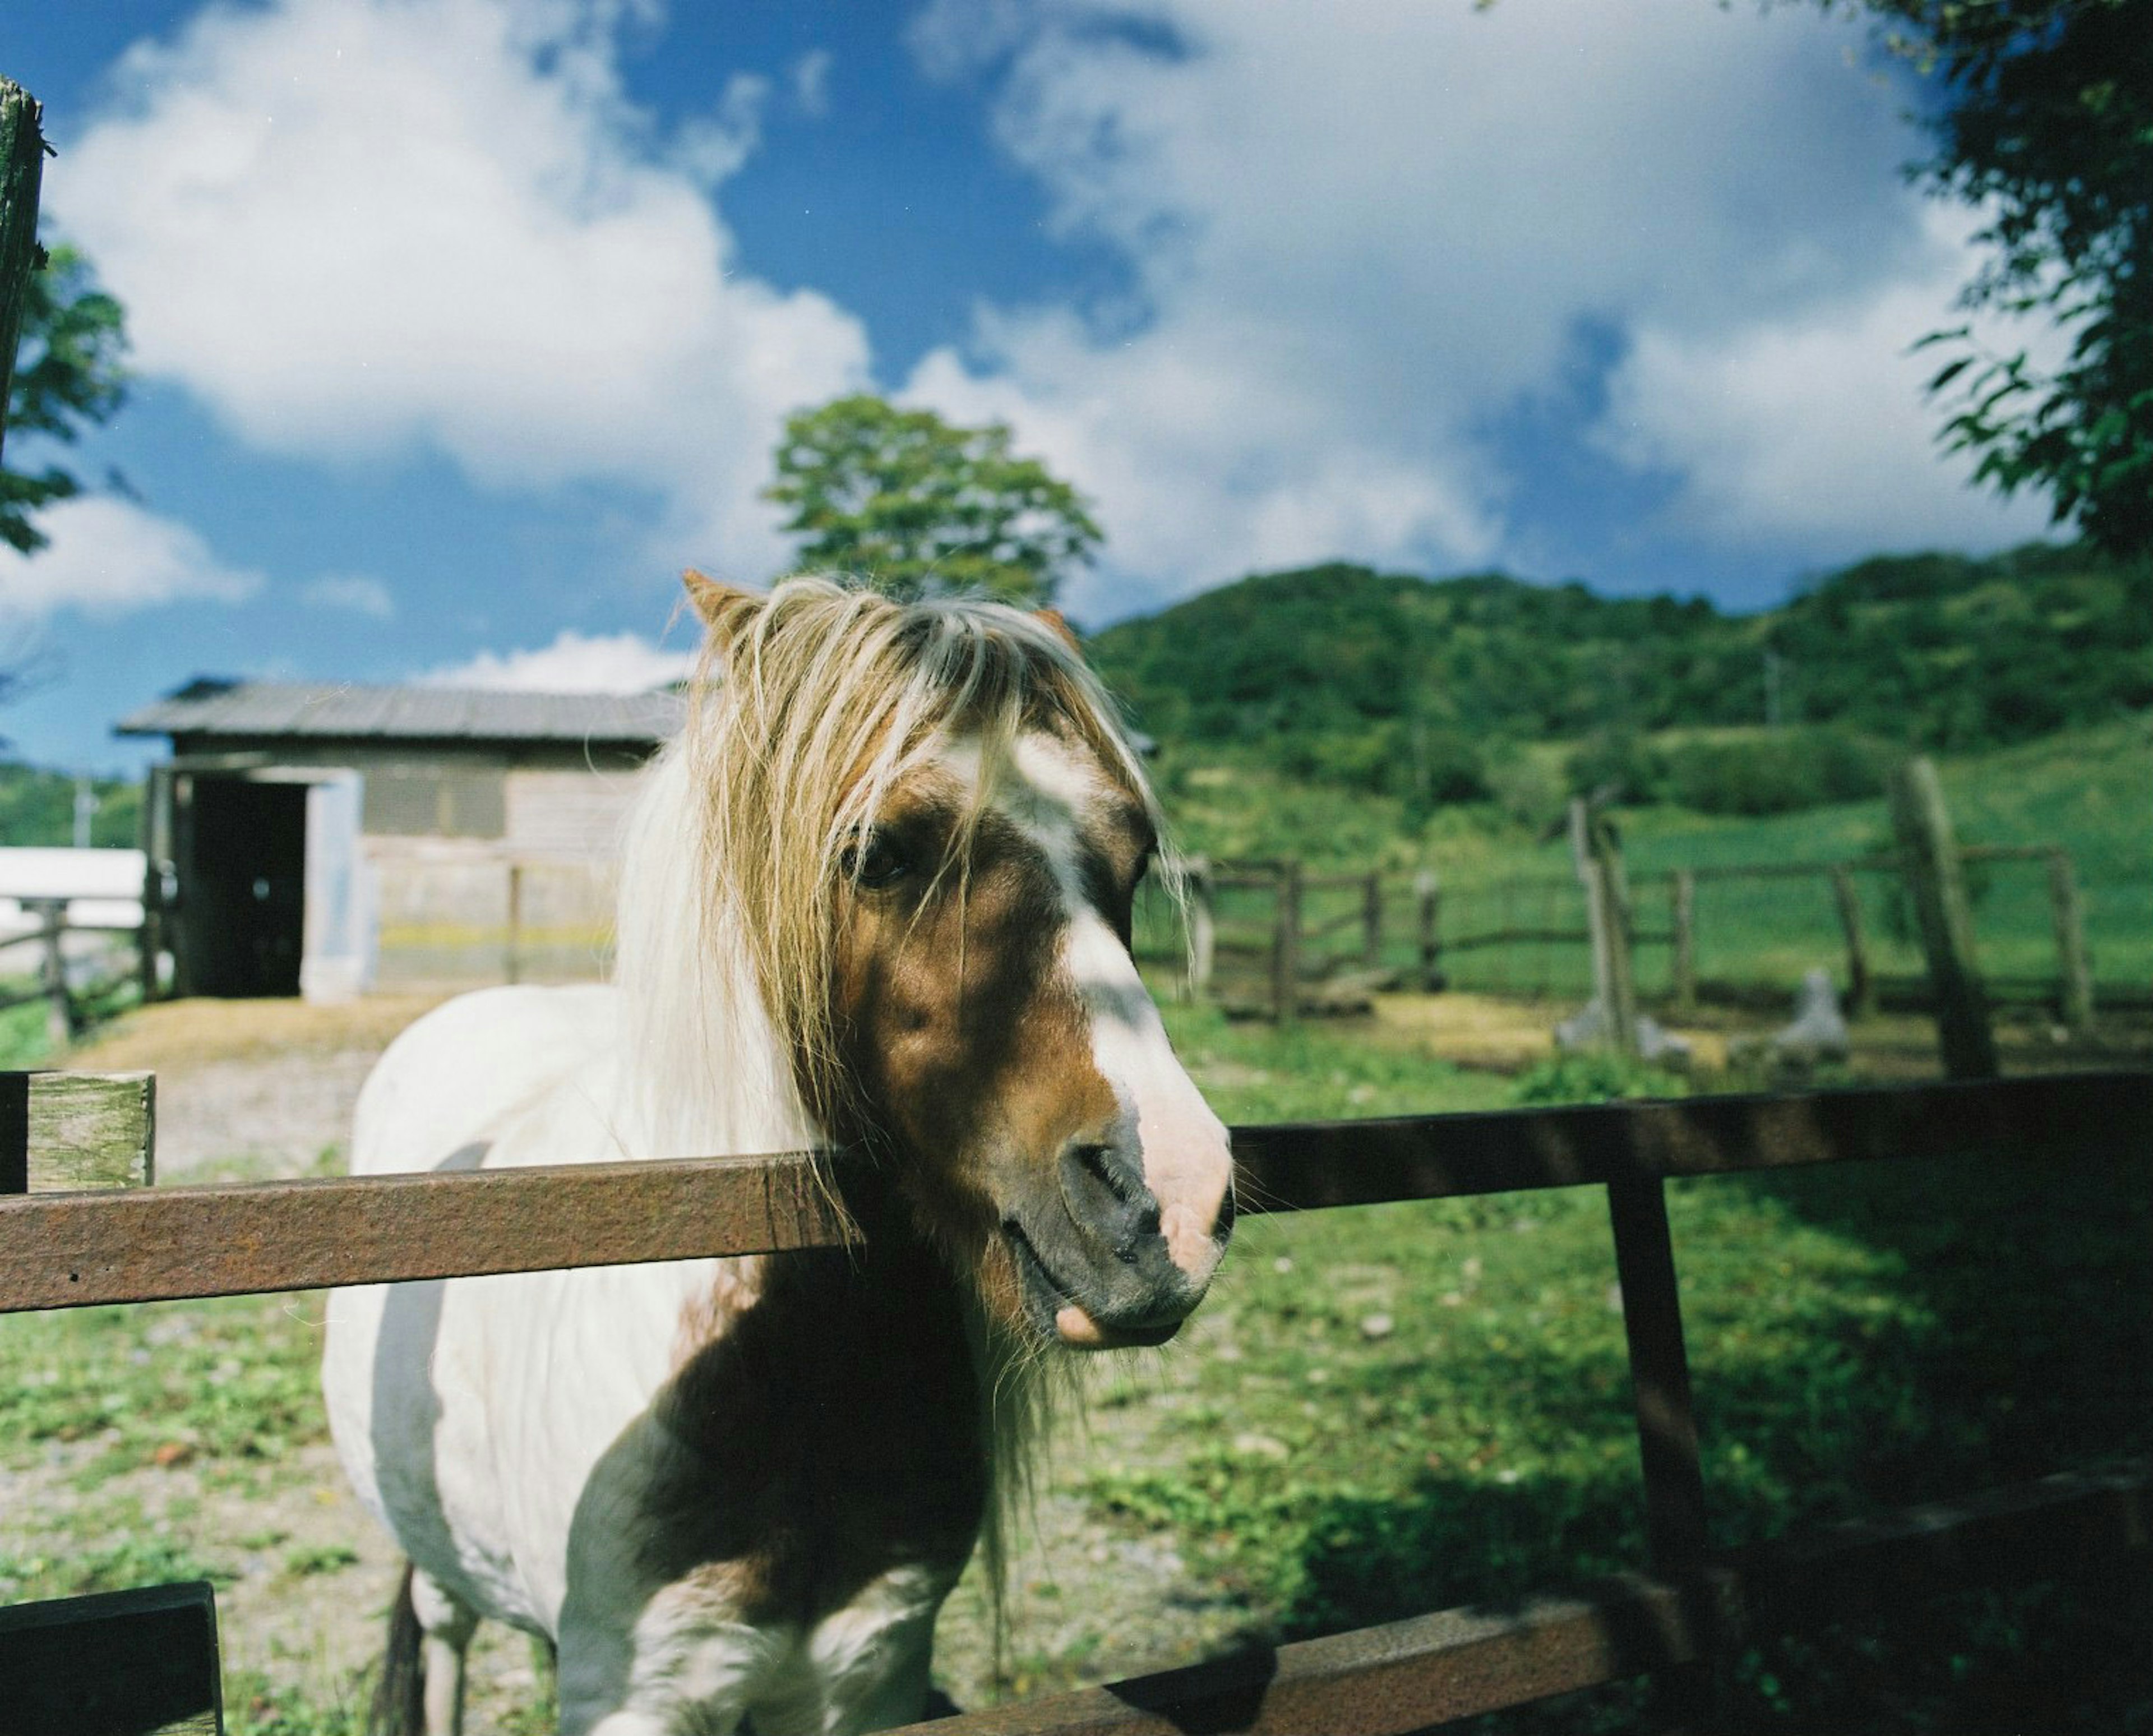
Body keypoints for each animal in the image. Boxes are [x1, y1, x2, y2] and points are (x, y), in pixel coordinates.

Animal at [312, 577, 1240, 1732]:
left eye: (1133, 857)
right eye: (880, 851)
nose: (1169, 1201)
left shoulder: (871, 1672)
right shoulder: (639, 1693)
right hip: (442, 1566)